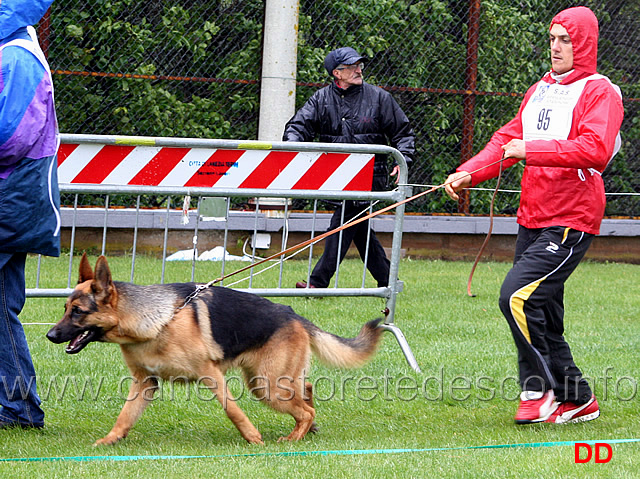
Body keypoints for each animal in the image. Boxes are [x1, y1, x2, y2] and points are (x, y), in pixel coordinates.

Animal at [47, 255, 382, 446]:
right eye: (64, 309)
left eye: (78, 312)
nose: (50, 335)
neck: (156, 322)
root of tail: (294, 314)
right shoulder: (145, 383)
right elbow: (125, 416)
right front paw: (110, 440)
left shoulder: (211, 375)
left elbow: (232, 410)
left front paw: (253, 438)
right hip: (271, 380)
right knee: (308, 390)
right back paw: (308, 428)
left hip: (267, 386)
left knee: (306, 409)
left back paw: (294, 437)